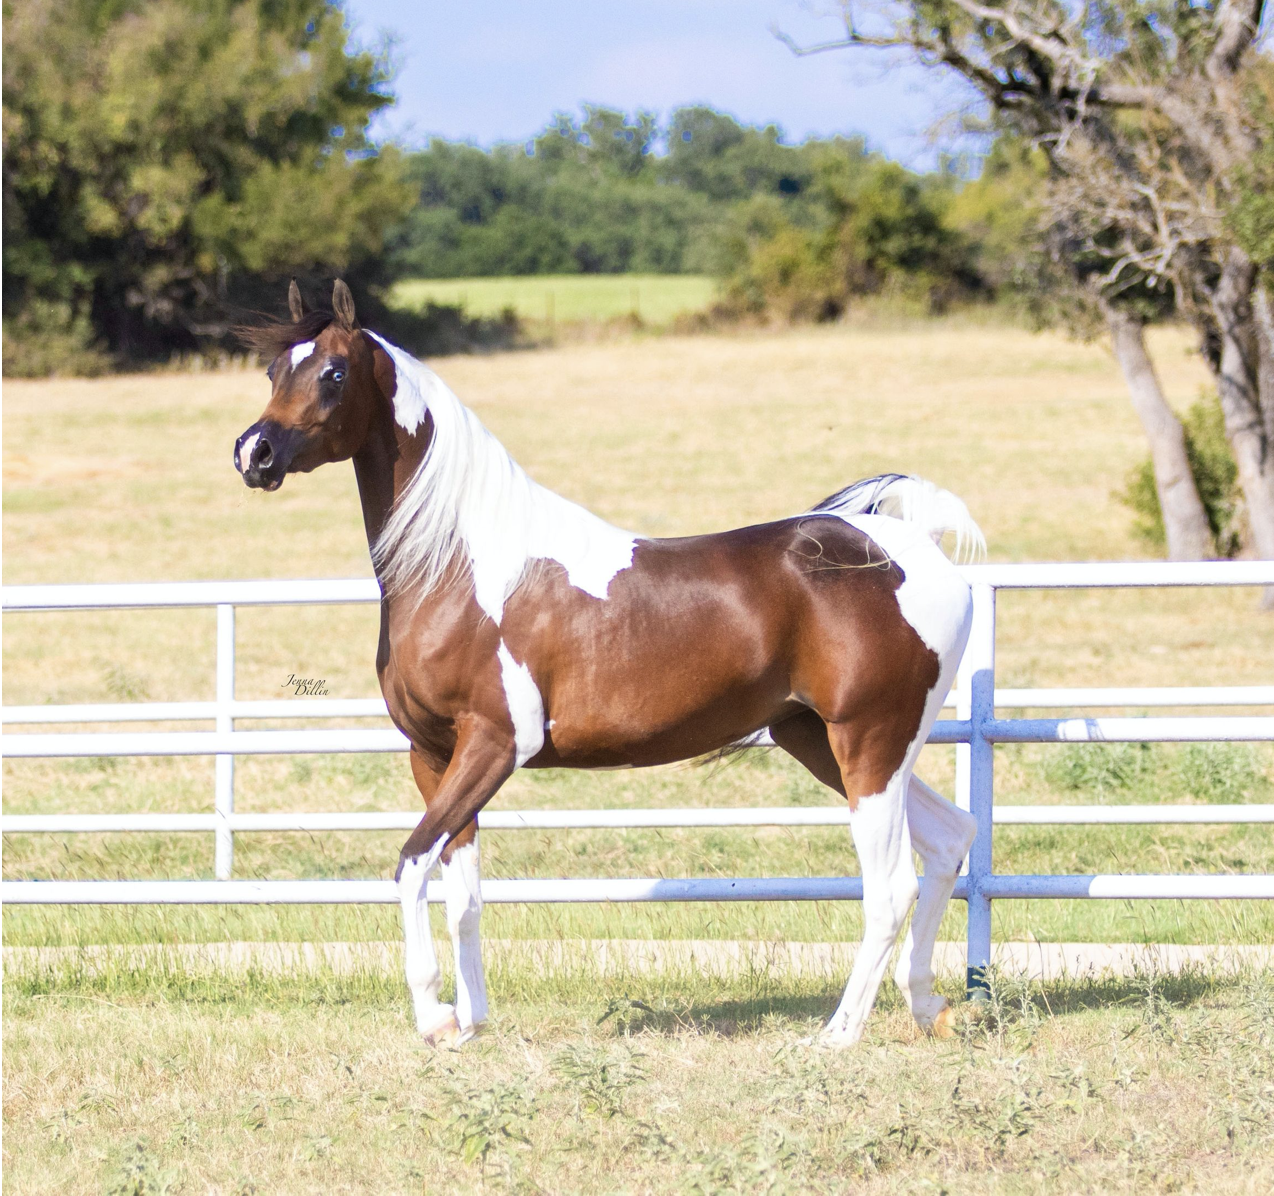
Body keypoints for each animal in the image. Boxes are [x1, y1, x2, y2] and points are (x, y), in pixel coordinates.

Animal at [235, 279, 982, 1048]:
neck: (458, 566)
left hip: (869, 742)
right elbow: (463, 893)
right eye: (273, 370)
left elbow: (411, 868)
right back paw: (928, 1007)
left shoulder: (494, 746)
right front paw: (471, 1023)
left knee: (891, 885)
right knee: (949, 840)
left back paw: (836, 1035)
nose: (254, 454)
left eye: (333, 374)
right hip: (825, 741)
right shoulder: (434, 756)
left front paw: (436, 1018)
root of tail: (907, 550)